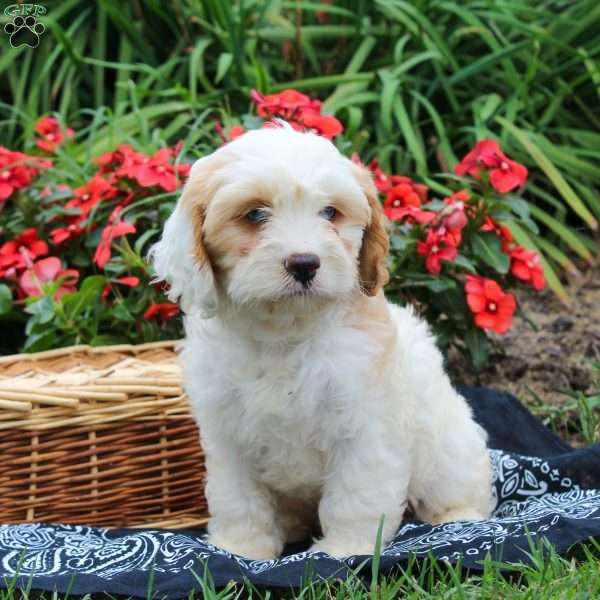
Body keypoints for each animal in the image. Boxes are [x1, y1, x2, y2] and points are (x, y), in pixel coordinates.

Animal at [152, 124, 494, 560]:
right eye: (255, 214)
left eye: (330, 212)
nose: (304, 263)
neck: (286, 331)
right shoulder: (228, 434)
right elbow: (238, 498)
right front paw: (242, 549)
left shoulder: (364, 425)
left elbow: (355, 495)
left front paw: (346, 550)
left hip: (447, 447)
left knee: (458, 485)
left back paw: (458, 520)